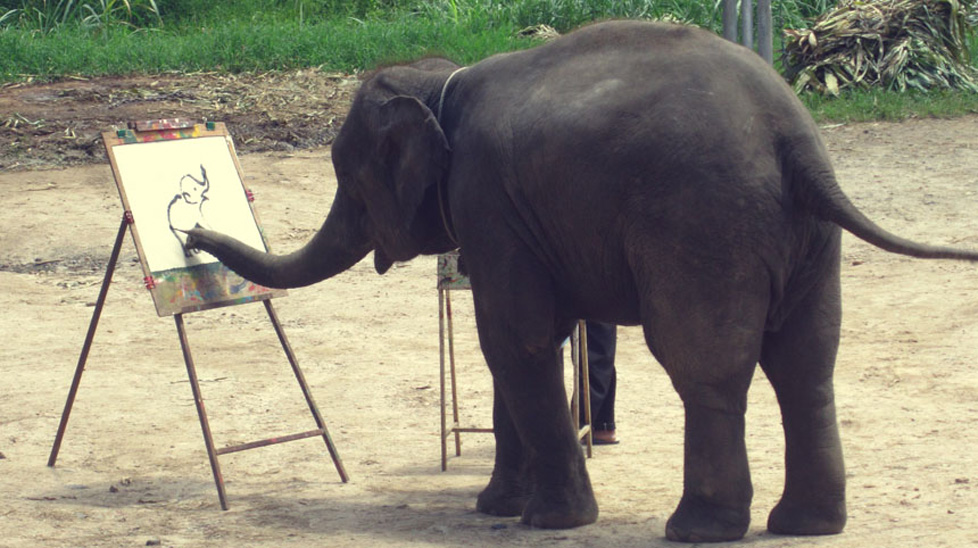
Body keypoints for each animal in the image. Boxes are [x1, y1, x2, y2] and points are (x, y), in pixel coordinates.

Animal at [185, 20, 978, 542]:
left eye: (347, 180)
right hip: (808, 241)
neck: (445, 83)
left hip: (702, 225)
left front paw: (548, 521)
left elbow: (518, 340)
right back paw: (806, 525)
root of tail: (794, 139)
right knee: (807, 366)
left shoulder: (490, 201)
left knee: (707, 368)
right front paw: (494, 509)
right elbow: (513, 346)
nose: (190, 237)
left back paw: (698, 529)